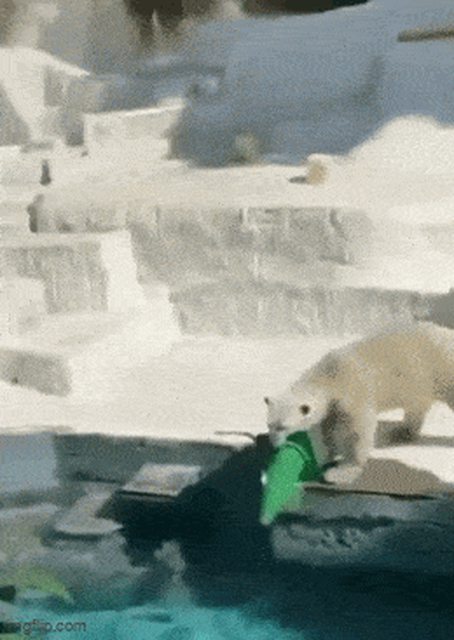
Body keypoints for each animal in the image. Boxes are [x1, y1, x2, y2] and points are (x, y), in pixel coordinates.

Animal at [264, 322, 454, 484]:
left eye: (283, 427)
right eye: (270, 425)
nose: (273, 446)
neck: (329, 376)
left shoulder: (353, 392)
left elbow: (358, 431)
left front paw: (340, 472)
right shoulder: (332, 406)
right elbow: (326, 428)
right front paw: (322, 457)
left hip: (442, 369)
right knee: (417, 405)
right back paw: (401, 432)